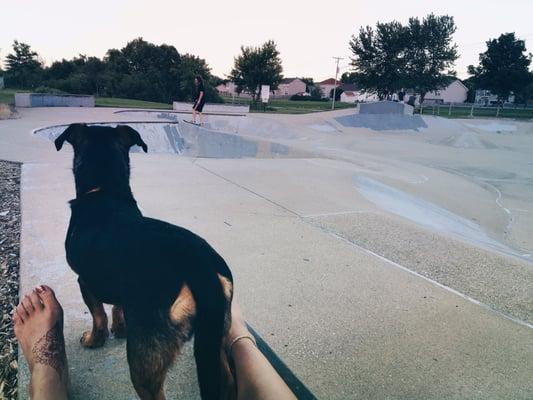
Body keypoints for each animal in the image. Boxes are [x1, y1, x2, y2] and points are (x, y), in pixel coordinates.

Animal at [54, 123, 235, 398]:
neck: (104, 192)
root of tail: (198, 264)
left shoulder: (84, 281)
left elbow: (98, 315)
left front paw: (94, 340)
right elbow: (117, 308)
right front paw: (120, 329)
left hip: (146, 361)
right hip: (217, 337)